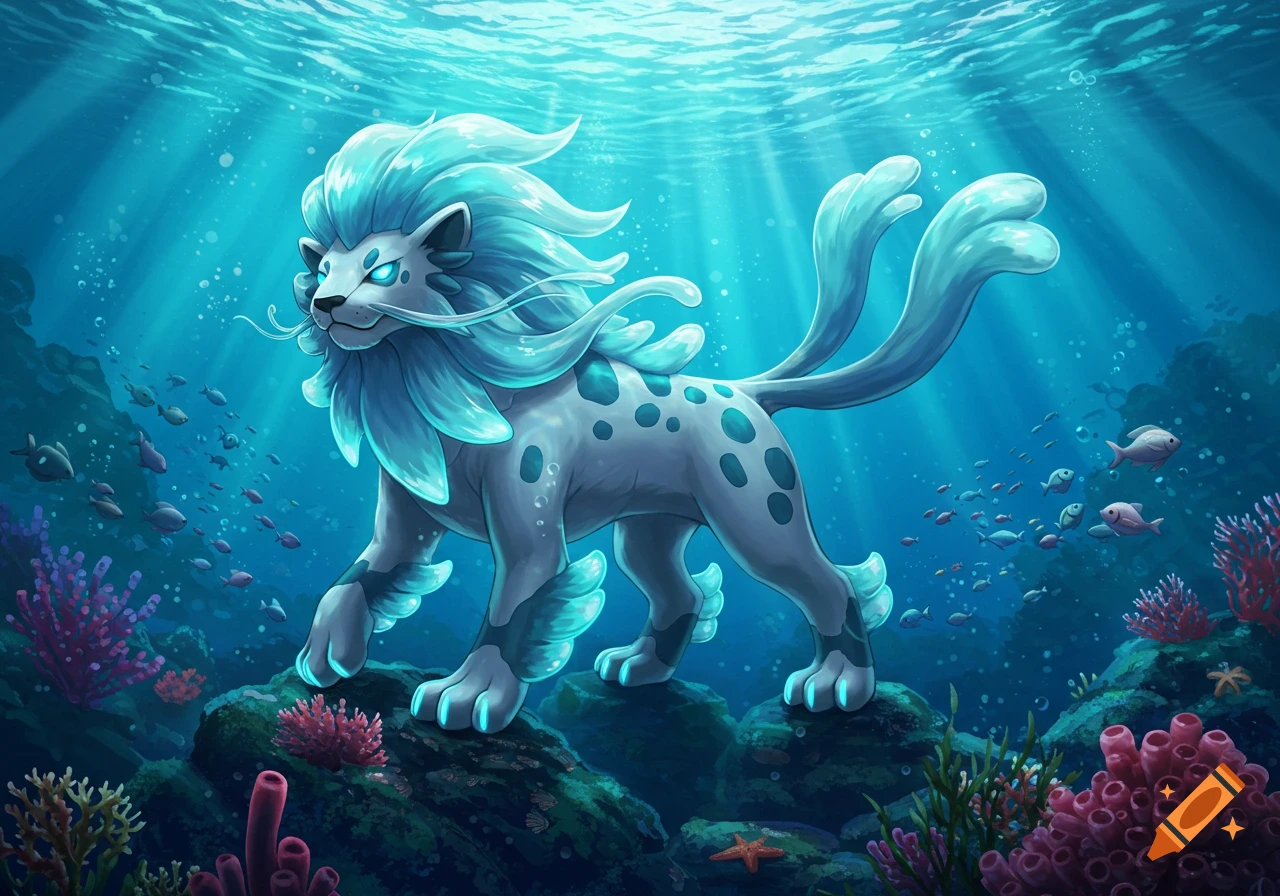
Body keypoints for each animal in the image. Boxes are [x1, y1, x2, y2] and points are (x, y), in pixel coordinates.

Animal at [241, 113, 1058, 734]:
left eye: (382, 270)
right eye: (322, 270)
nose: (323, 305)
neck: (450, 394)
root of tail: (747, 391)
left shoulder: (532, 536)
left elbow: (511, 609)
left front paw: (468, 697)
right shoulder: (405, 525)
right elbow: (355, 580)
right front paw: (323, 657)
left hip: (760, 520)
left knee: (831, 586)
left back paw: (835, 685)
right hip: (651, 529)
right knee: (683, 596)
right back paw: (639, 669)